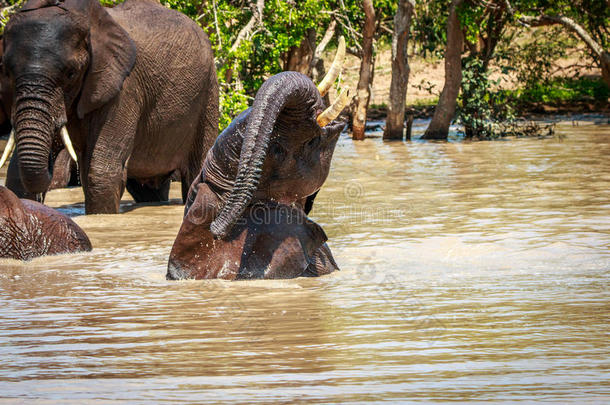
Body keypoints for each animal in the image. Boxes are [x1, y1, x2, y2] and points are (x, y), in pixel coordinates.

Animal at [0, 0, 218, 215]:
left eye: (71, 73)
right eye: (7, 72)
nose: (50, 163)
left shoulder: (124, 89)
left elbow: (101, 173)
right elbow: (16, 176)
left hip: (208, 92)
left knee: (196, 172)